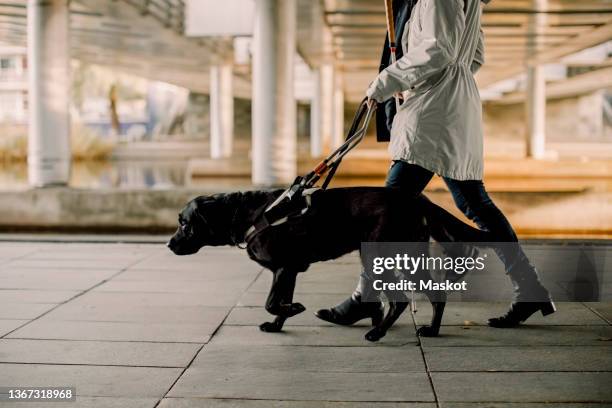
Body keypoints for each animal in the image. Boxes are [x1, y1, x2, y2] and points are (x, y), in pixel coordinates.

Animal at [167, 188, 488, 342]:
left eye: (184, 223)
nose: (169, 245)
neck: (249, 214)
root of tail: (417, 200)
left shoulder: (283, 267)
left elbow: (271, 302)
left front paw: (293, 310)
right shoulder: (289, 270)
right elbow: (279, 301)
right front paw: (279, 323)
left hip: (382, 255)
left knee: (400, 300)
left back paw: (378, 333)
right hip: (404, 257)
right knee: (436, 294)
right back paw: (431, 330)